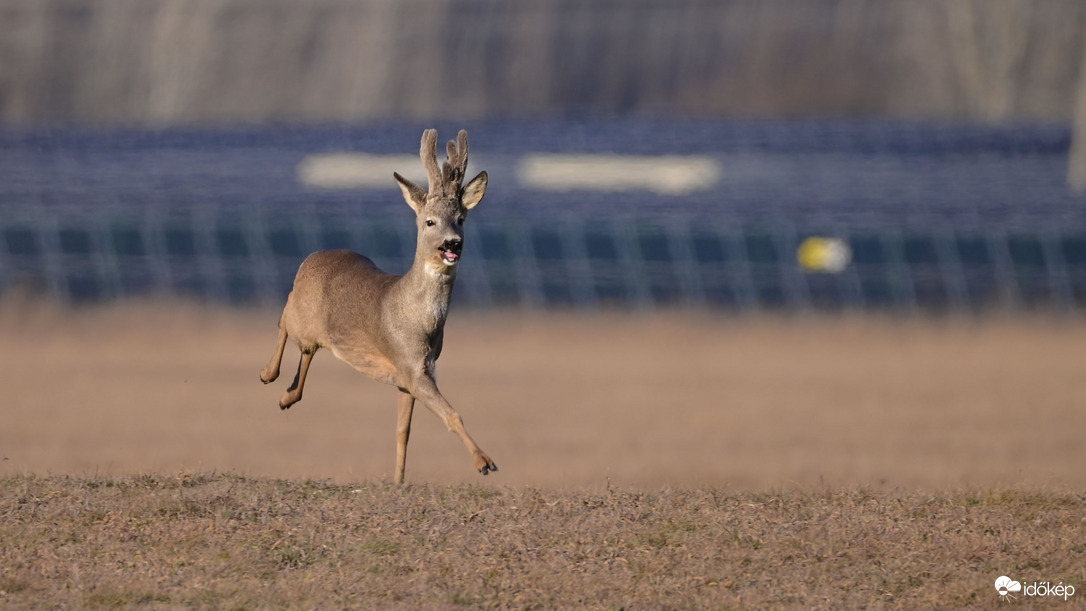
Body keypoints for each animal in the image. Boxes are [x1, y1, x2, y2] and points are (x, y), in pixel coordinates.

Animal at [260, 128, 497, 484]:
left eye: (460, 219)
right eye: (429, 222)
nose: (452, 244)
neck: (418, 320)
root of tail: (310, 258)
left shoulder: (414, 373)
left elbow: (403, 431)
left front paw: (398, 480)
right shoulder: (411, 366)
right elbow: (452, 415)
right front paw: (484, 462)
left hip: (319, 331)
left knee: (306, 349)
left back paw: (286, 396)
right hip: (301, 311)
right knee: (284, 318)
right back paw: (267, 374)